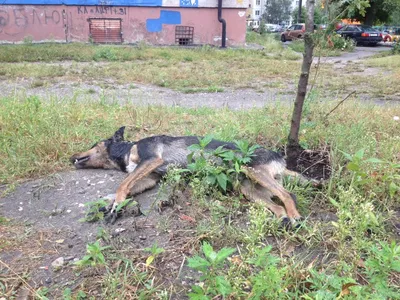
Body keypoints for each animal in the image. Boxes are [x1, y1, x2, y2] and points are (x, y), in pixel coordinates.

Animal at [70, 126, 318, 225]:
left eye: (94, 144)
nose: (72, 156)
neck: (127, 149)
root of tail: (280, 158)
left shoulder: (151, 160)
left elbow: (123, 185)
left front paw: (115, 204)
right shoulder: (150, 178)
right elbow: (126, 187)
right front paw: (111, 205)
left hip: (253, 171)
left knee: (288, 196)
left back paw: (295, 218)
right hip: (250, 188)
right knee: (277, 206)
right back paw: (284, 220)